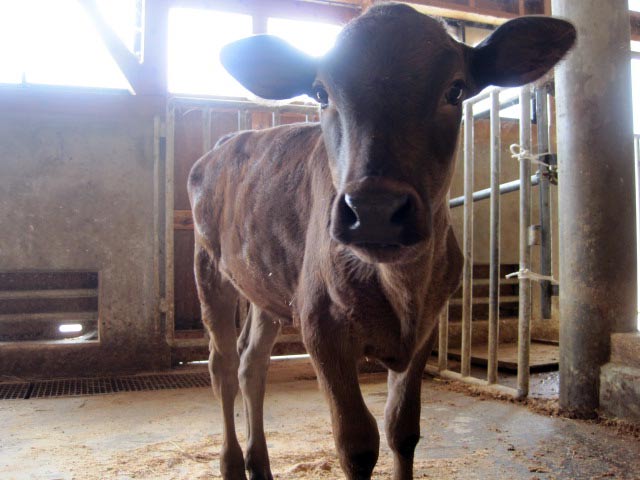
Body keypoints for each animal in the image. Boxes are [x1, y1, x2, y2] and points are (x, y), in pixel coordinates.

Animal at [188, 4, 576, 480]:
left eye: (455, 90)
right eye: (320, 92)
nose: (374, 209)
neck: (401, 285)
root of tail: (228, 140)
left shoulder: (426, 327)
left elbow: (402, 429)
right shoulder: (320, 325)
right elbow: (356, 444)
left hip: (267, 286)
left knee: (251, 363)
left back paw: (258, 463)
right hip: (208, 268)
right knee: (222, 365)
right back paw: (230, 463)